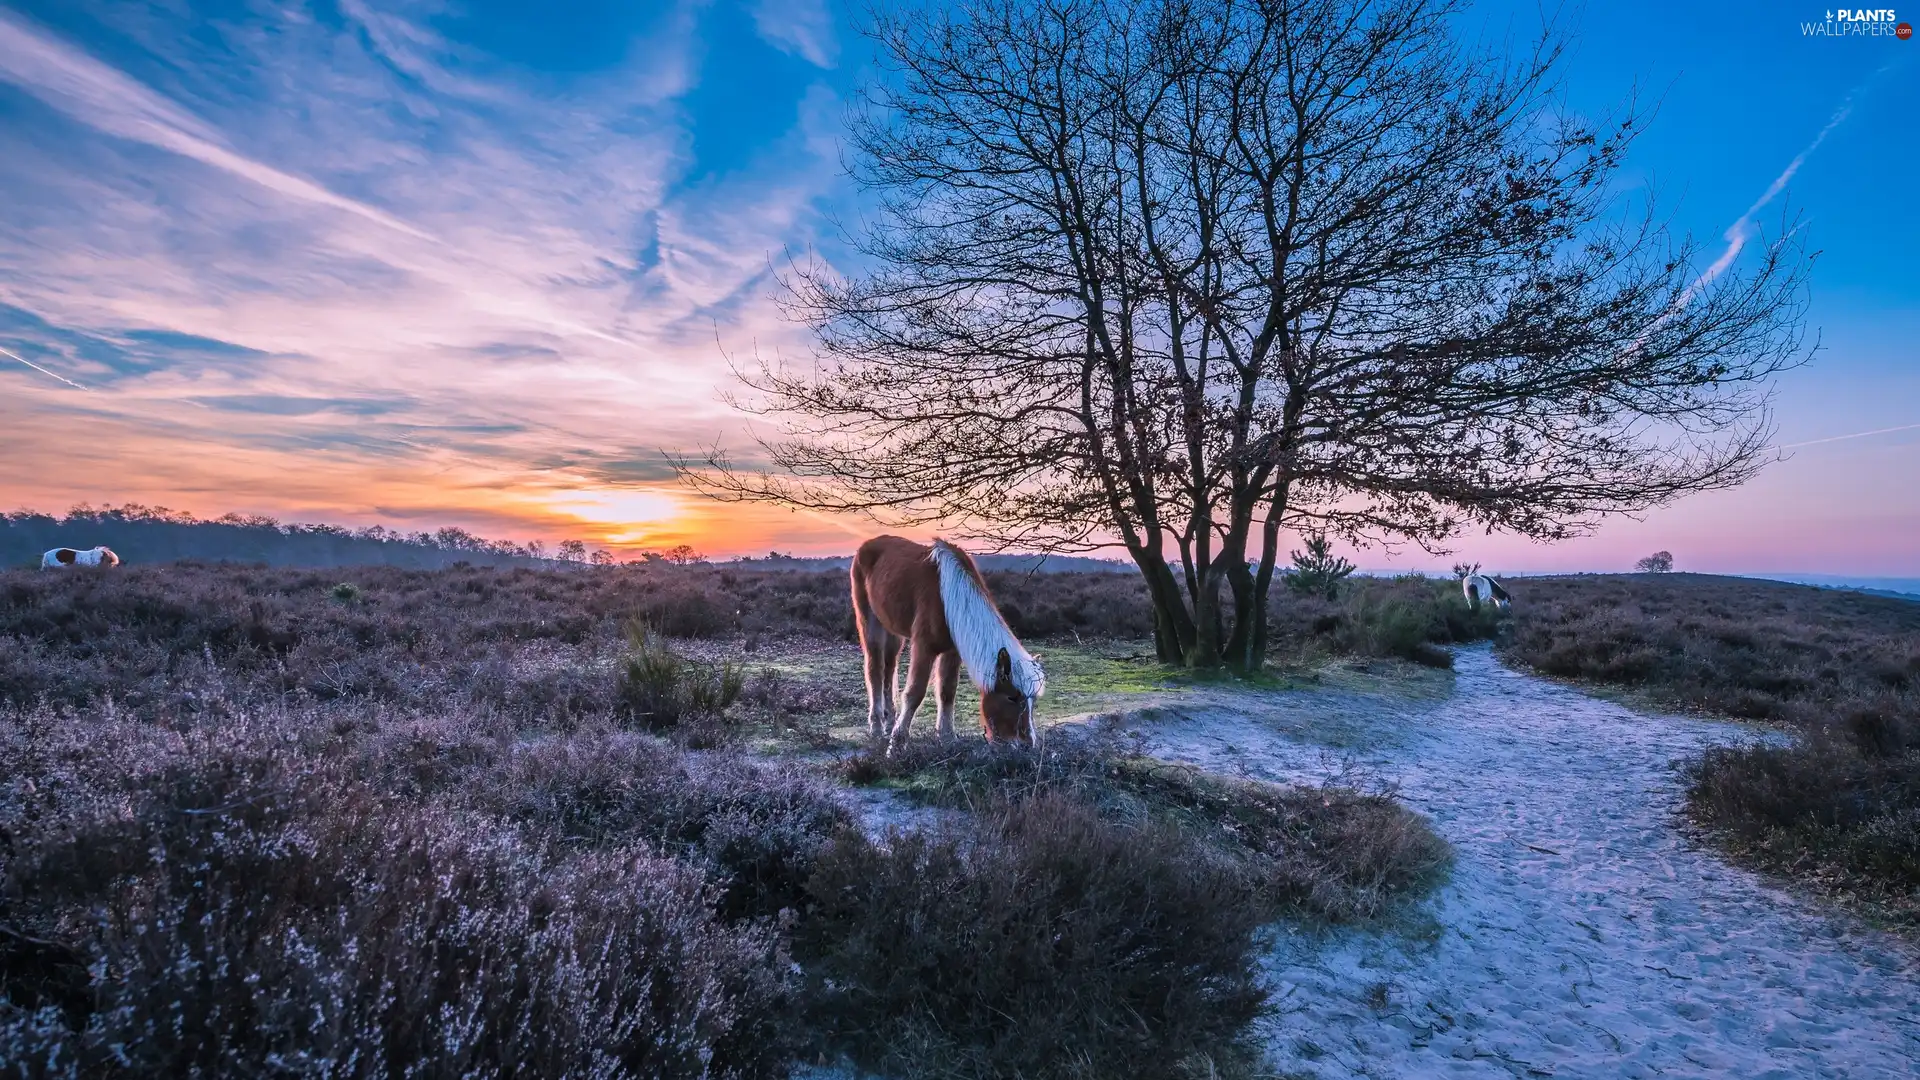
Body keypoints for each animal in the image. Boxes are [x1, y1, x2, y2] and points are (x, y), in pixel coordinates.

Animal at [848, 534, 1044, 753]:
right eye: (1012, 697)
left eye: (1032, 700)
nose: (1028, 744)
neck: (951, 598)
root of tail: (868, 544)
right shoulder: (924, 647)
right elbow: (915, 693)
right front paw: (897, 745)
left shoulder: (952, 651)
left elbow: (947, 692)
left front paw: (947, 738)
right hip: (870, 622)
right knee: (875, 669)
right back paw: (876, 728)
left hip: (893, 631)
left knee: (889, 670)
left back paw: (889, 722)